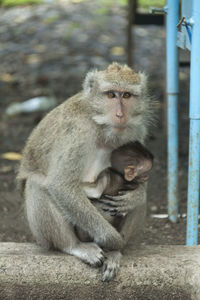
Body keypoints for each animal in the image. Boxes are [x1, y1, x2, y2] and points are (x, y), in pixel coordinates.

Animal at [17, 62, 155, 282]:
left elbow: (139, 188)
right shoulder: (77, 133)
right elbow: (61, 185)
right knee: (37, 184)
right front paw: (113, 240)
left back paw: (116, 252)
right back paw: (76, 246)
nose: (120, 115)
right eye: (111, 95)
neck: (101, 126)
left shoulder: (136, 131)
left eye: (126, 95)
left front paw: (135, 197)